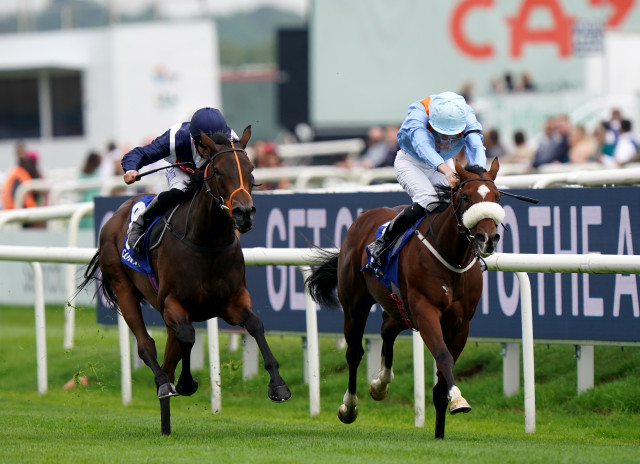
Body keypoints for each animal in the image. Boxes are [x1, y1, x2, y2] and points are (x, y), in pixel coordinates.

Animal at [76, 127, 292, 436]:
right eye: (218, 171)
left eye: (251, 169)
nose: (244, 213)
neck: (206, 241)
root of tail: (116, 215)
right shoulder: (172, 303)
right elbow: (188, 336)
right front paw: (186, 383)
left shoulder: (232, 302)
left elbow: (255, 325)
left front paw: (278, 386)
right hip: (123, 286)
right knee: (147, 346)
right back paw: (165, 384)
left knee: (169, 356)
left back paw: (165, 419)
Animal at [304, 159, 504, 438]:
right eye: (466, 197)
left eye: (497, 197)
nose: (489, 238)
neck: (452, 257)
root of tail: (363, 218)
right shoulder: (426, 311)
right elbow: (443, 356)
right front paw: (458, 400)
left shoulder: (461, 323)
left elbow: (443, 373)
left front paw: (441, 429)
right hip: (356, 305)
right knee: (354, 353)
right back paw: (349, 407)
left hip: (399, 307)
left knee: (387, 328)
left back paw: (380, 384)